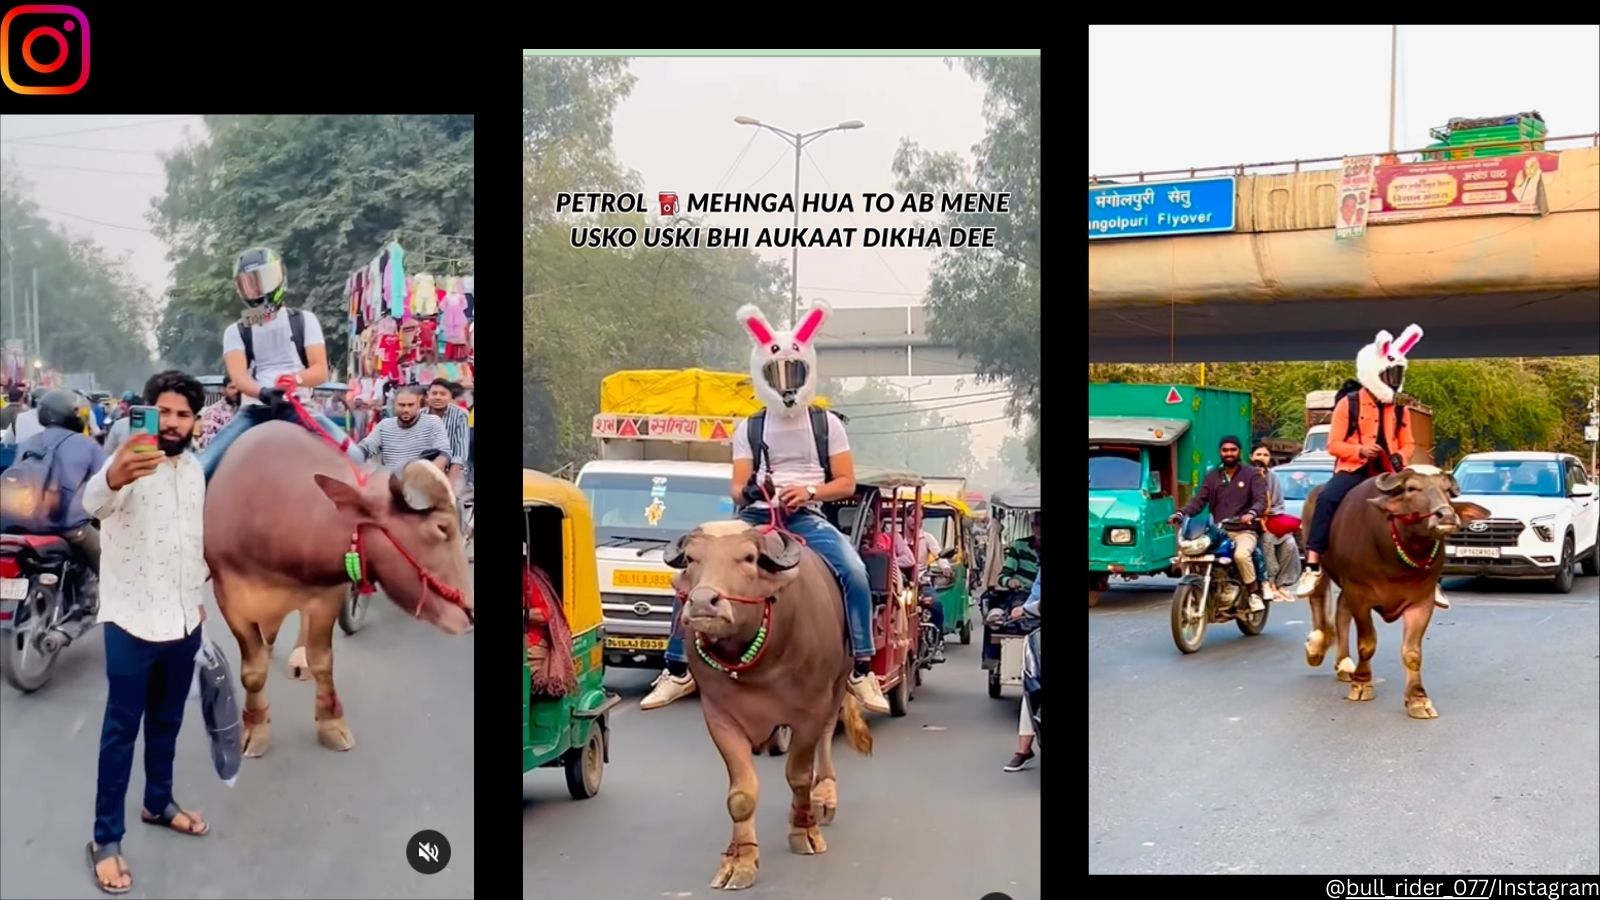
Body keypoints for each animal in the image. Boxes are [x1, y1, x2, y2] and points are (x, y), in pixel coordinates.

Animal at [203, 419, 470, 749]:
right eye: (441, 528)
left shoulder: (326, 596)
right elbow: (252, 671)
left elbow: (322, 661)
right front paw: (255, 727)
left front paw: (331, 723)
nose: (469, 613)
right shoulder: (228, 598)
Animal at [668, 518, 883, 890]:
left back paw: (824, 795)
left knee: (827, 737)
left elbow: (798, 775)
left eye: (749, 558)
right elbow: (741, 794)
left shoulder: (810, 711)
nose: (704, 603)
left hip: (838, 684)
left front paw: (804, 831)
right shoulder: (720, 716)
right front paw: (740, 860)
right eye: (692, 559)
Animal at [1299, 464, 1484, 717]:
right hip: (1320, 559)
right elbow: (1367, 643)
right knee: (1318, 596)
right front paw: (1362, 685)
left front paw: (1418, 699)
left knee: (1341, 609)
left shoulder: (1421, 601)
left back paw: (1344, 664)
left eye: (1447, 490)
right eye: (1412, 488)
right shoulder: (1360, 594)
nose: (1446, 516)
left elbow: (1412, 653)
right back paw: (1316, 648)